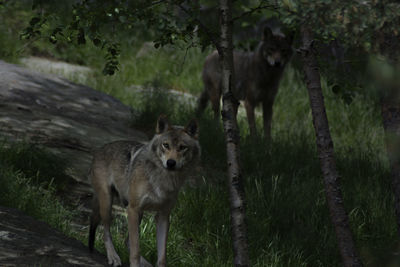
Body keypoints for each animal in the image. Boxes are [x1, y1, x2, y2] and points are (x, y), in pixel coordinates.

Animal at [88, 116, 200, 267]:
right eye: (166, 145)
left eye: (182, 147)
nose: (171, 163)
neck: (163, 179)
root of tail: (100, 149)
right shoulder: (133, 209)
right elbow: (136, 250)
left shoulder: (163, 216)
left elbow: (161, 256)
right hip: (108, 203)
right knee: (105, 231)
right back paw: (113, 256)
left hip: (136, 213)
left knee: (127, 241)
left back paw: (145, 263)